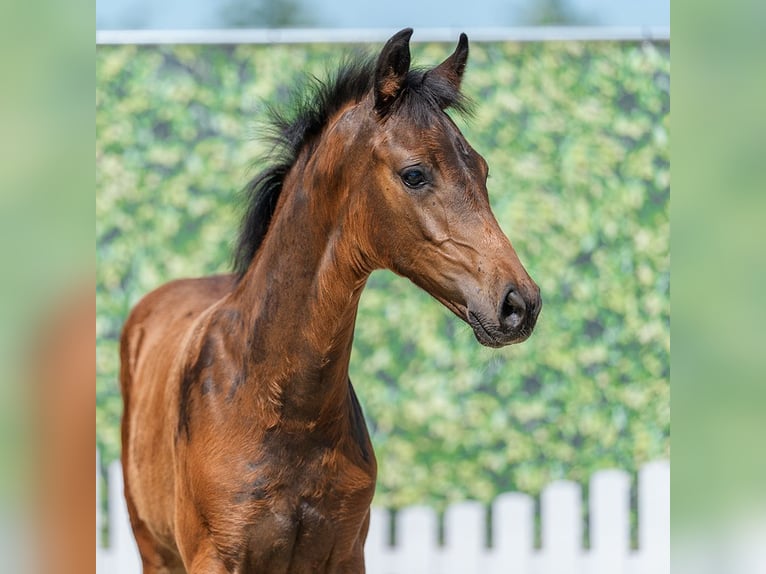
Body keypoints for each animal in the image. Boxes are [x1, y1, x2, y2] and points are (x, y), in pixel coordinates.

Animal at [120, 28, 541, 573]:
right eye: (414, 174)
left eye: (483, 170)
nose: (520, 303)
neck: (288, 412)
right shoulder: (213, 558)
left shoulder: (345, 553)